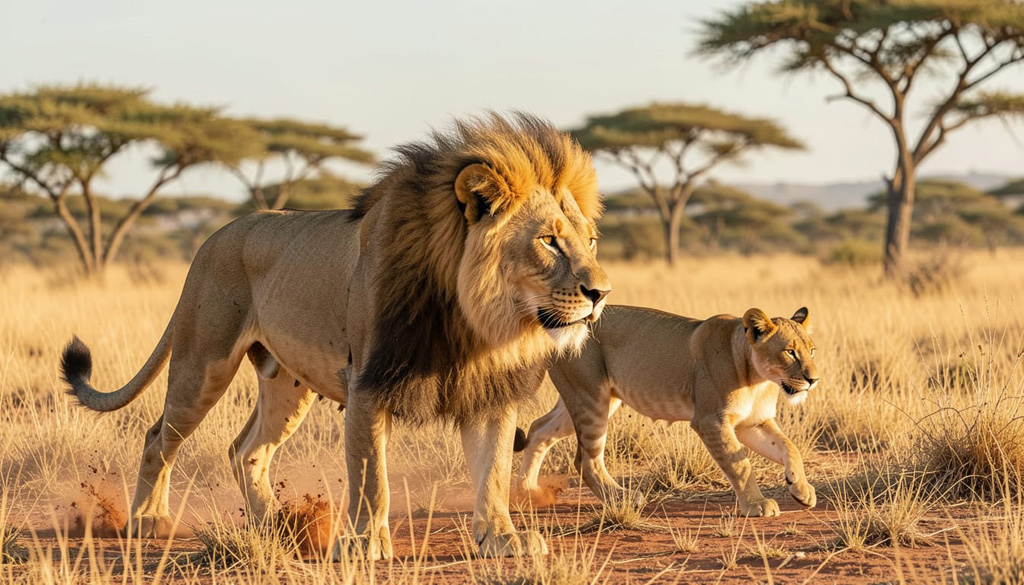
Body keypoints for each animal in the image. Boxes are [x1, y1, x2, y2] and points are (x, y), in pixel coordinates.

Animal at [60, 113, 611, 560]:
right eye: (548, 240)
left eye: (590, 240)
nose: (601, 293)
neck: (471, 318)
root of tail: (212, 237)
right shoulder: (367, 383)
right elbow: (371, 475)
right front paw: (364, 544)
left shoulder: (490, 390)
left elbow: (493, 471)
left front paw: (503, 538)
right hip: (203, 362)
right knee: (159, 437)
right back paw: (148, 520)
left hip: (287, 384)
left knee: (246, 450)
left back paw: (275, 525)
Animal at [515, 305, 818, 517]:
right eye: (790, 352)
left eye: (812, 350)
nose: (813, 379)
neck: (759, 379)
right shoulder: (711, 420)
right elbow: (740, 464)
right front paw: (757, 505)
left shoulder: (752, 424)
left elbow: (789, 447)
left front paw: (801, 489)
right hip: (590, 397)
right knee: (586, 461)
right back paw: (623, 498)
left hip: (584, 399)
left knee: (539, 429)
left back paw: (527, 491)